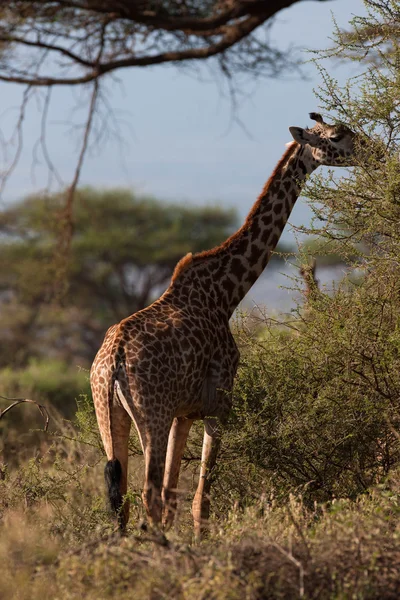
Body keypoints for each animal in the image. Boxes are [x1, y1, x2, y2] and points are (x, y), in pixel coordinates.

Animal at [90, 112, 360, 540]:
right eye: (336, 136)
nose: (371, 148)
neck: (227, 293)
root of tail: (112, 362)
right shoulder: (220, 402)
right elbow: (200, 500)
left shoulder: (184, 412)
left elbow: (174, 495)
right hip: (151, 413)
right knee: (147, 494)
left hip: (109, 413)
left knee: (124, 498)